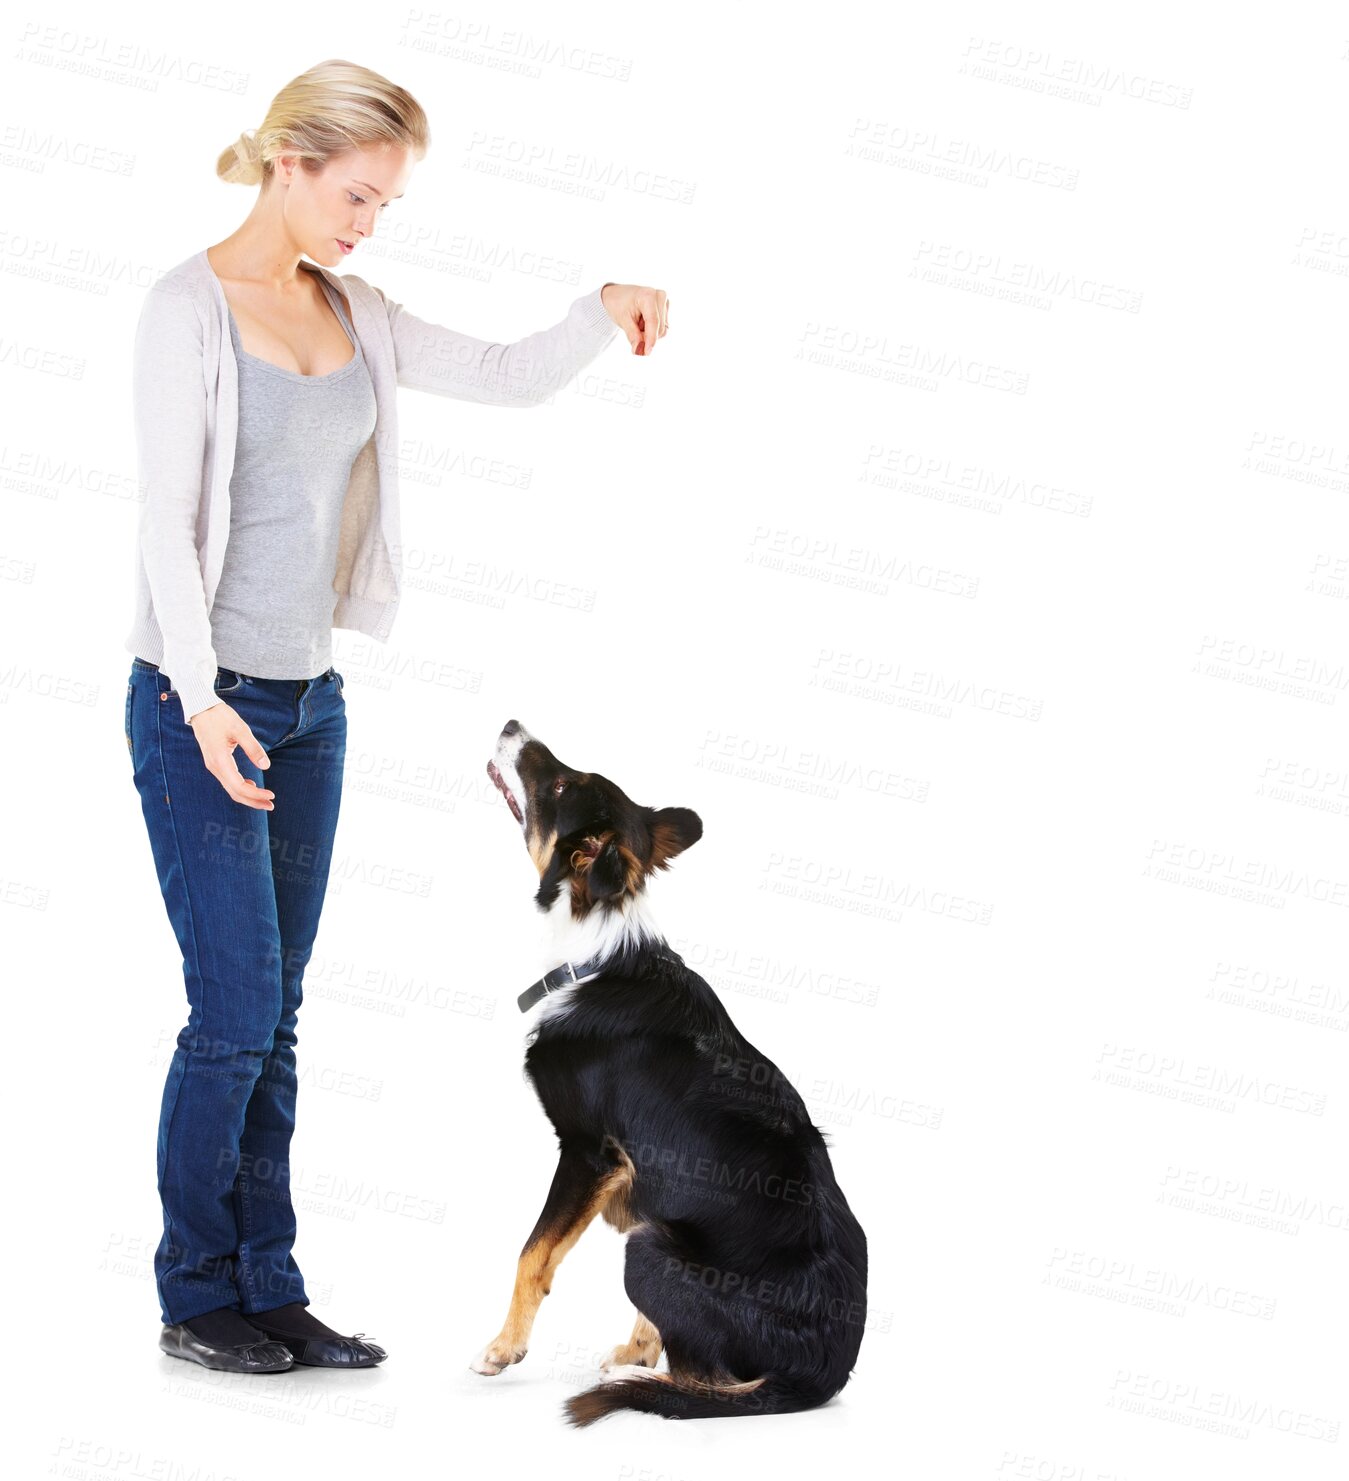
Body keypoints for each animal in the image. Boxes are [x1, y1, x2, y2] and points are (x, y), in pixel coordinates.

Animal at [473, 719, 870, 1421]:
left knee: (702, 1376)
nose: (512, 724)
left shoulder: (588, 1152)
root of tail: (821, 1374)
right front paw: (634, 1348)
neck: (592, 949)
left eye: (558, 786)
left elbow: (532, 1253)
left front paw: (503, 1348)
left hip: (647, 1249)